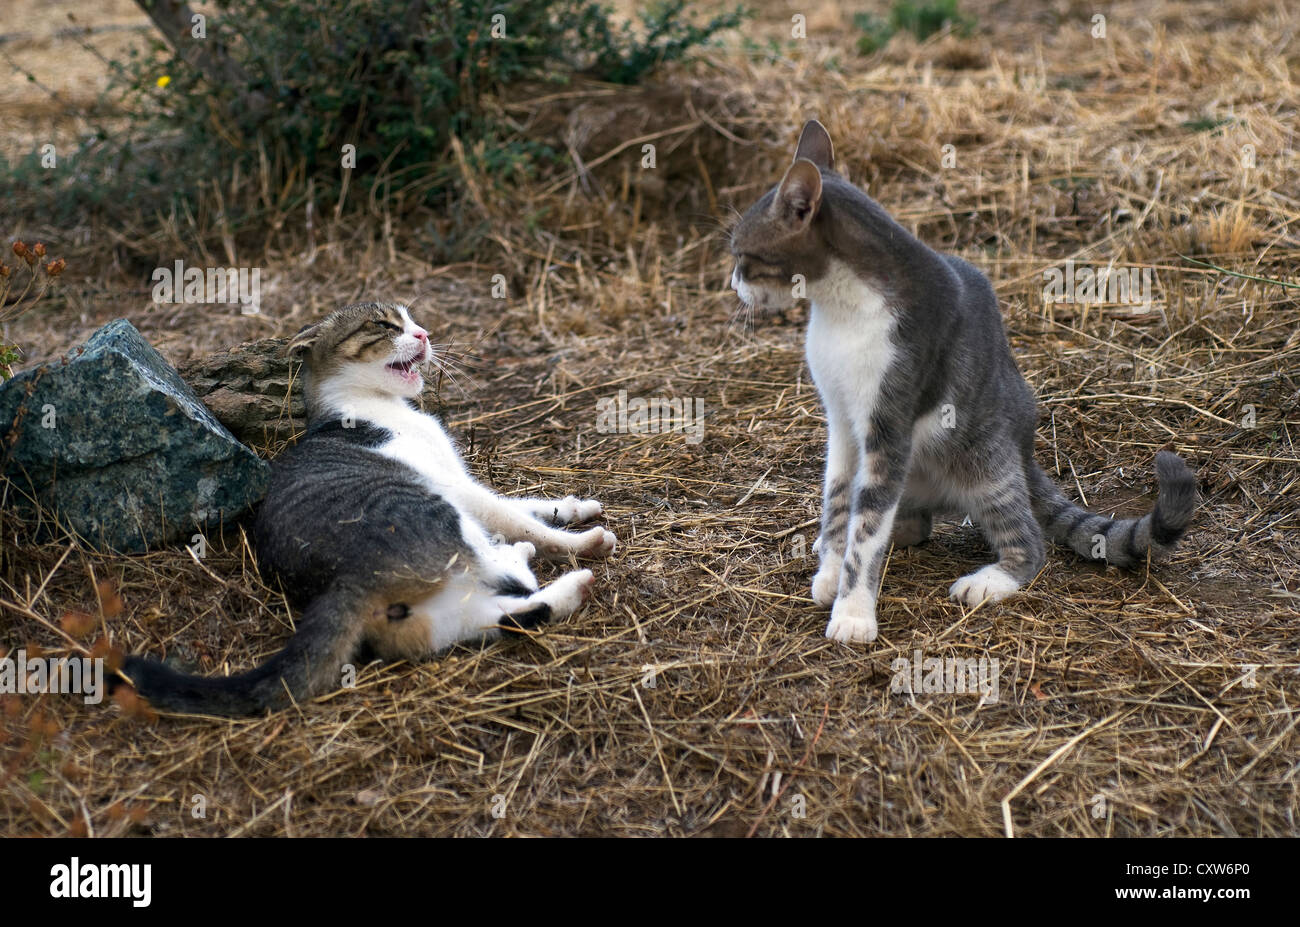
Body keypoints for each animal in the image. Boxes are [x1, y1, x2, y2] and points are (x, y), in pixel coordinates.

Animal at [116, 304, 613, 717]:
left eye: (411, 320)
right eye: (385, 325)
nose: (424, 334)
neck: (381, 403)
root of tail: (345, 579)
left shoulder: (463, 482)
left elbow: (524, 503)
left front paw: (575, 505)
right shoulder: (454, 486)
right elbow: (513, 515)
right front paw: (580, 536)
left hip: (431, 618)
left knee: (512, 612)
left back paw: (569, 589)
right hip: (434, 509)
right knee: (505, 572)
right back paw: (553, 556)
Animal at [728, 120, 1190, 644]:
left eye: (743, 255)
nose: (734, 284)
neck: (839, 310)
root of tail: (1024, 452)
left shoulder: (888, 424)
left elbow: (866, 529)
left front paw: (853, 612)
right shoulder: (842, 423)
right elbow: (840, 504)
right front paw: (831, 570)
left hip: (984, 461)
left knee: (1027, 539)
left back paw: (989, 580)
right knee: (911, 521)